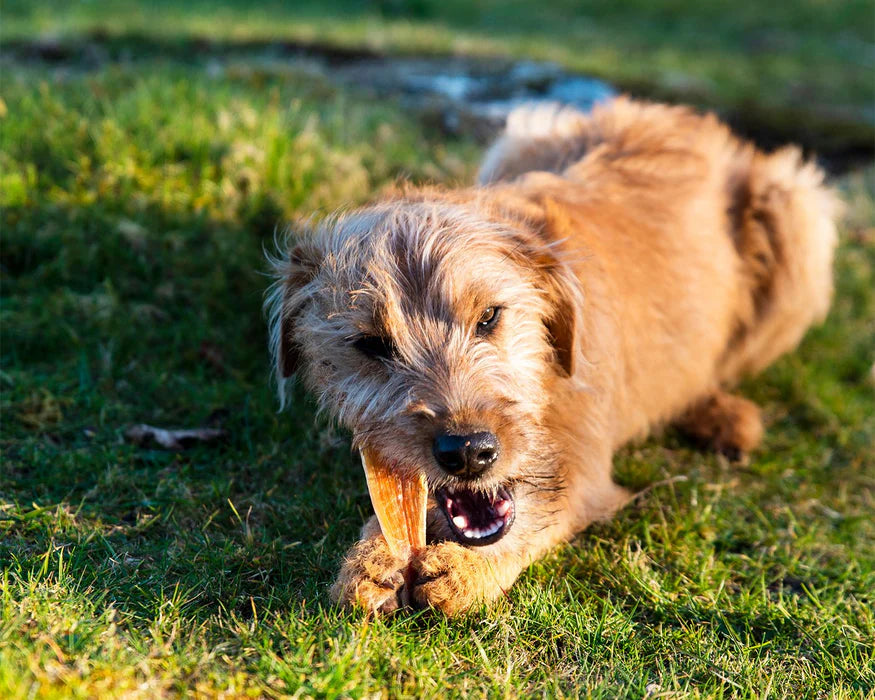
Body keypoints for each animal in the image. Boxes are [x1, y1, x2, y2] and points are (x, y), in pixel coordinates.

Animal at [266, 97, 840, 612]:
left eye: (490, 316)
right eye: (371, 344)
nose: (468, 452)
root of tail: (688, 115)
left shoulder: (584, 463)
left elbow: (547, 507)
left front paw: (466, 572)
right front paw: (373, 556)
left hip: (797, 213)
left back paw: (718, 412)